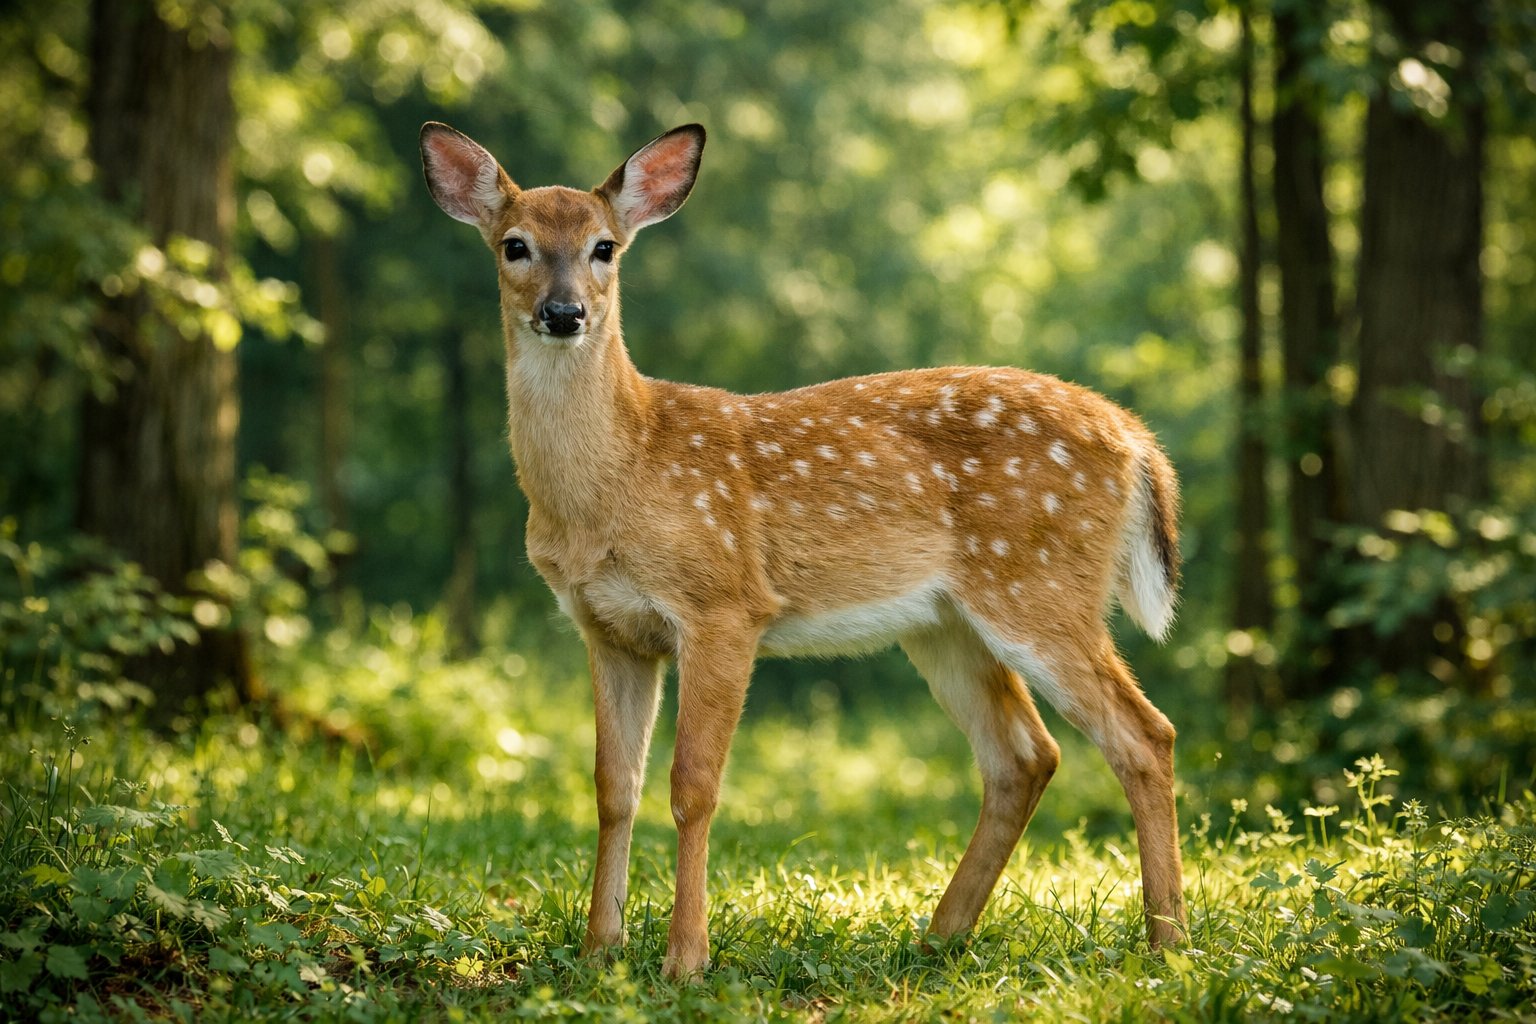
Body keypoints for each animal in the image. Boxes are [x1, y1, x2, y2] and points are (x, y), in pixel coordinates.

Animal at [419, 120, 1187, 979]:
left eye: (604, 247)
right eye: (514, 245)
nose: (564, 312)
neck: (618, 476)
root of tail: (1136, 440)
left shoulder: (723, 602)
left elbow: (693, 785)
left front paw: (685, 959)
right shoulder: (609, 629)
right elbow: (614, 786)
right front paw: (598, 950)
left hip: (1040, 588)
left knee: (1143, 734)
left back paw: (1168, 942)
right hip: (945, 623)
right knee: (1024, 755)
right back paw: (939, 936)